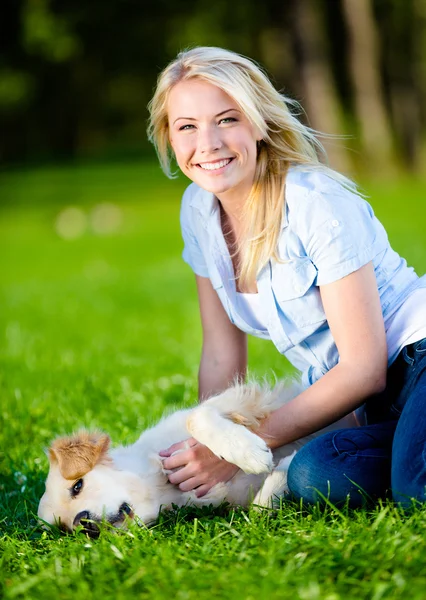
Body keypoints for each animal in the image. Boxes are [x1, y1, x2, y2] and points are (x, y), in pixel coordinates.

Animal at [36, 380, 358, 536]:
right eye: (63, 528)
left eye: (77, 485)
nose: (83, 526)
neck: (160, 486)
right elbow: (261, 508)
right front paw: (285, 465)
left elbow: (197, 416)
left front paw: (249, 452)